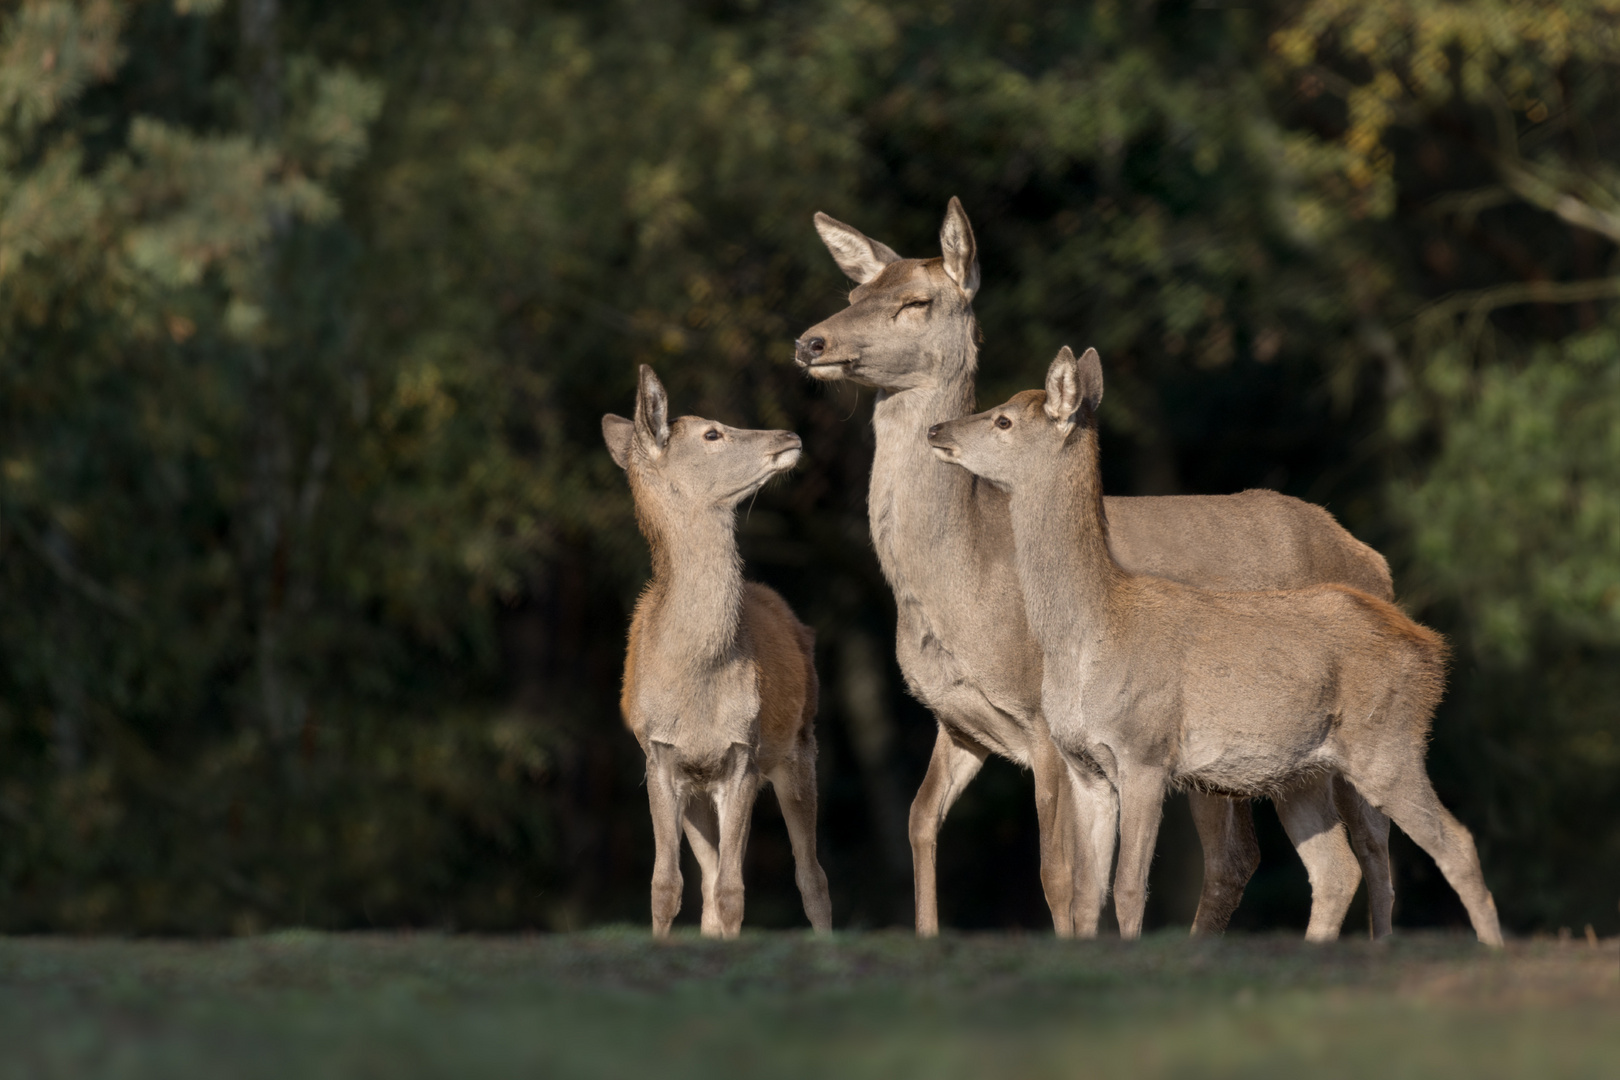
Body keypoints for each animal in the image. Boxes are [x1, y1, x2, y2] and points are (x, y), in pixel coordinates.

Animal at [609, 365, 835, 939]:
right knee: (710, 883)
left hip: (800, 745)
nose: (789, 435)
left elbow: (734, 892)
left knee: (812, 876)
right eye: (712, 434)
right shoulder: (660, 756)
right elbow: (667, 887)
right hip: (702, 791)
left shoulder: (742, 755)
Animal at [926, 348, 1503, 945]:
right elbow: (1088, 894)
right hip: (1303, 774)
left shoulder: (1145, 750)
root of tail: (1433, 651)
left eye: (1003, 420)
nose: (936, 429)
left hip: (1386, 742)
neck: (1089, 633)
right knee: (1338, 869)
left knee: (1453, 844)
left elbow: (1130, 888)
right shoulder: (1085, 767)